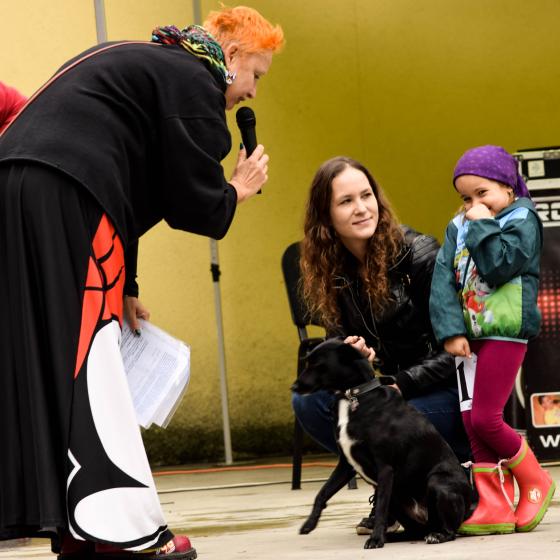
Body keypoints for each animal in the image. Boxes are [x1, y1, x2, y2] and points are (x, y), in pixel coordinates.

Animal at [291, 338, 473, 548]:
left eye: (318, 364)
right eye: (307, 362)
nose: (293, 387)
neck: (354, 397)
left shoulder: (385, 468)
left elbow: (380, 509)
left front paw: (376, 539)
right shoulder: (346, 466)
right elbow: (322, 493)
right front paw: (309, 523)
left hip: (437, 483)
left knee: (449, 530)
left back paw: (437, 535)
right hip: (399, 500)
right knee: (414, 532)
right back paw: (394, 537)